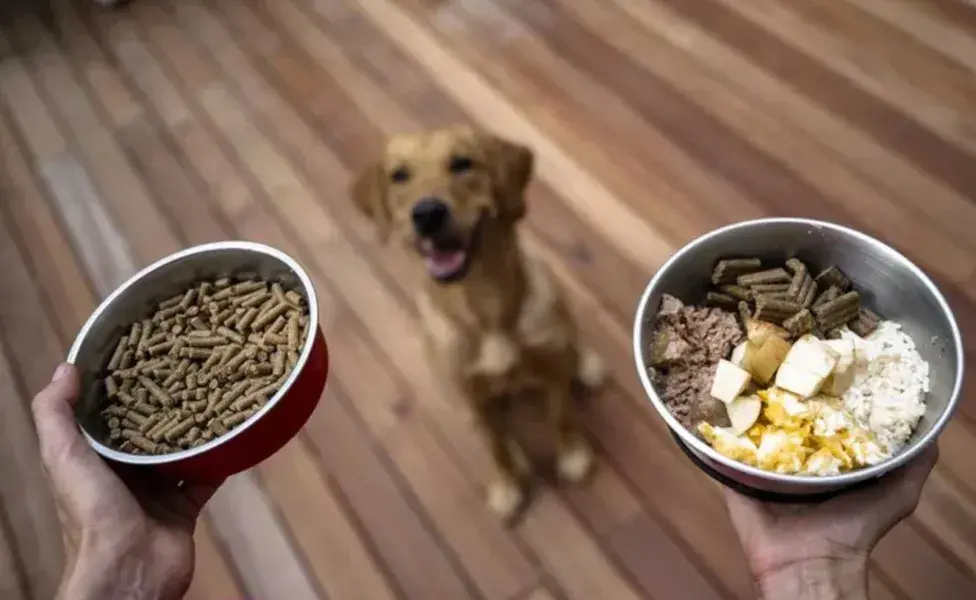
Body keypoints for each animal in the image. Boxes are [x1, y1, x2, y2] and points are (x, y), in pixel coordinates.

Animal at [350, 126, 604, 520]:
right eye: (399, 175)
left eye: (462, 163)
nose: (427, 213)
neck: (483, 306)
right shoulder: (472, 396)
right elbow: (495, 447)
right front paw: (506, 486)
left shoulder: (551, 369)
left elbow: (561, 416)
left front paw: (572, 455)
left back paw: (586, 365)